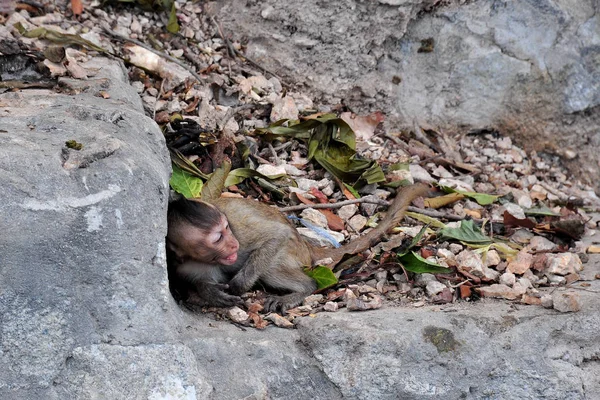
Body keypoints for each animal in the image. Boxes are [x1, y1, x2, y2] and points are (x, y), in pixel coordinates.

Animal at [166, 184, 428, 312]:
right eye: (218, 237)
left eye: (227, 229)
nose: (233, 244)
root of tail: (305, 243)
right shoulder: (186, 262)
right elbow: (200, 280)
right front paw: (212, 293)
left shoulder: (241, 231)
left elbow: (276, 236)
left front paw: (239, 285)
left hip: (293, 250)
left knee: (272, 264)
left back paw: (303, 288)